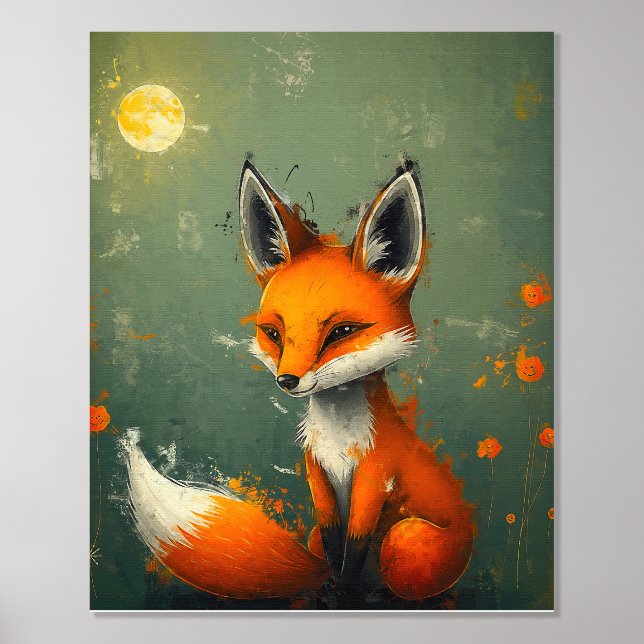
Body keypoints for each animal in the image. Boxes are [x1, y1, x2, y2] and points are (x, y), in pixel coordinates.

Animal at [126, 160, 474, 604]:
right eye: (274, 334)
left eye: (341, 332)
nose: (286, 380)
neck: (338, 444)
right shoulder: (317, 475)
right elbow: (333, 543)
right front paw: (334, 589)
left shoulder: (374, 479)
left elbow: (354, 549)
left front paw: (345, 595)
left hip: (405, 539)